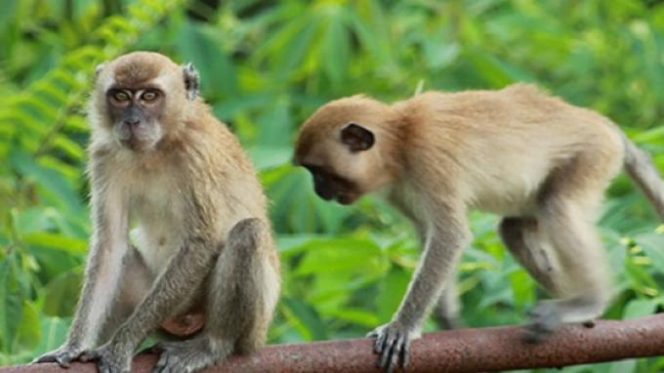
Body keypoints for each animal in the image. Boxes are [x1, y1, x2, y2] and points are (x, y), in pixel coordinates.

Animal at [34, 50, 280, 372]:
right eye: (121, 96)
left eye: (150, 96)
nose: (132, 120)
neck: (157, 148)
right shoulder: (105, 155)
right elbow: (110, 244)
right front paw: (74, 346)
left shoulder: (196, 153)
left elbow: (200, 243)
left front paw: (121, 346)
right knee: (124, 255)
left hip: (251, 328)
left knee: (248, 233)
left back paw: (212, 345)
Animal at [294, 85, 664, 372]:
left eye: (319, 172)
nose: (317, 190)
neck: (400, 140)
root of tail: (599, 122)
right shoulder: (402, 189)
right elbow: (431, 236)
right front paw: (448, 322)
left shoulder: (428, 159)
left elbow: (449, 236)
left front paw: (402, 327)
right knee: (514, 230)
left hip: (591, 155)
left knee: (557, 208)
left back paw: (586, 302)